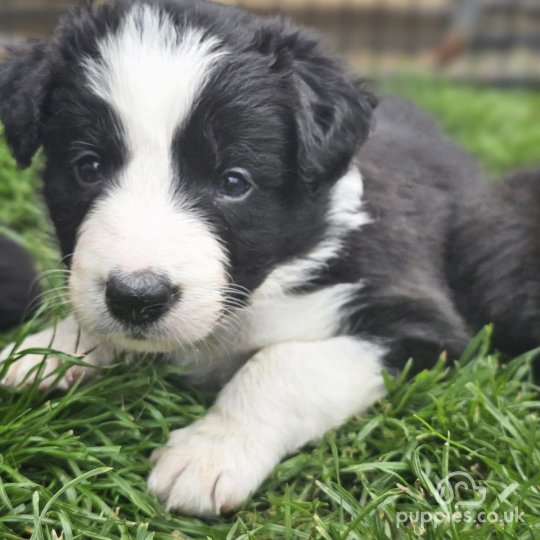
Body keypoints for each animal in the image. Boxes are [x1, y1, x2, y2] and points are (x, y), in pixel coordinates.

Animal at [0, 0, 480, 516]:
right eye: (87, 167)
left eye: (233, 182)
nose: (135, 298)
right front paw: (46, 350)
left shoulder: (420, 323)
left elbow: (280, 365)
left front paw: (210, 453)